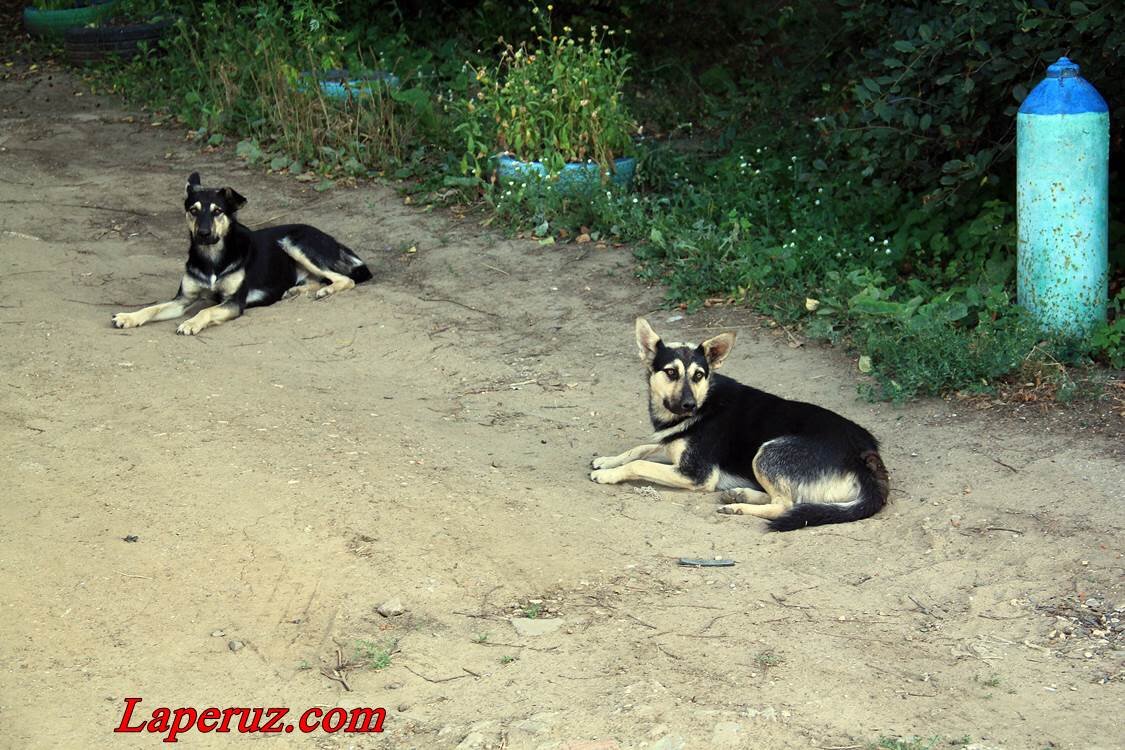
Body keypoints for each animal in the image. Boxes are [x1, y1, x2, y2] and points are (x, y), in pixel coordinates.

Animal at [109, 172, 366, 335]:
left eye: (217, 211)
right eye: (193, 210)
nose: (203, 234)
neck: (212, 257)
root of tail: (332, 239)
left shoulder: (234, 302)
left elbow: (206, 309)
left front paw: (191, 323)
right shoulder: (183, 299)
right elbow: (152, 308)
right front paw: (129, 317)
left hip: (294, 242)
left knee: (345, 279)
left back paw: (327, 290)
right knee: (318, 279)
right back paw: (295, 290)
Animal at [589, 319, 886, 530]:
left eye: (699, 375)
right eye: (671, 372)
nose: (689, 406)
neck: (705, 401)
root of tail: (866, 457)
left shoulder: (696, 474)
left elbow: (640, 463)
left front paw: (608, 474)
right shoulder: (669, 444)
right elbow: (641, 448)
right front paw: (607, 461)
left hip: (768, 452)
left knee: (785, 505)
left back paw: (739, 508)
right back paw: (739, 494)